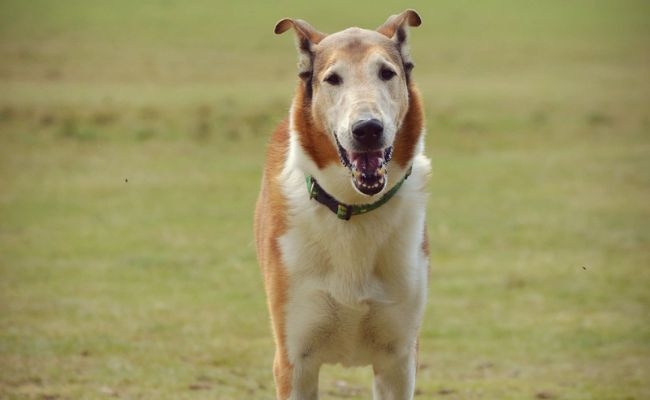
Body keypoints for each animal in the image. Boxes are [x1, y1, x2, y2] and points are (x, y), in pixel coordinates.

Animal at [254, 10, 430, 400]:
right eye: (333, 79)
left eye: (387, 73)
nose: (367, 129)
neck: (353, 208)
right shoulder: (294, 361)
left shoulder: (399, 361)